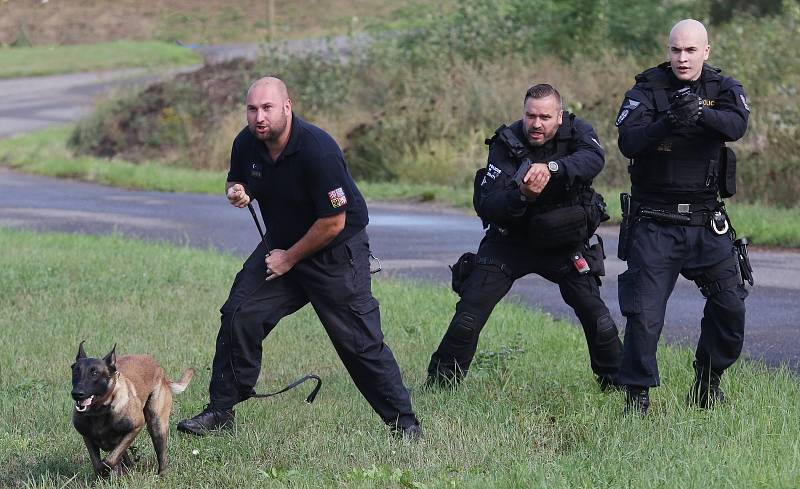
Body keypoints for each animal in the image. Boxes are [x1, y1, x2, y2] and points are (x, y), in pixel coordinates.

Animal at [72, 342, 196, 474]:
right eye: (75, 372)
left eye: (95, 373)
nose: (76, 393)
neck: (99, 412)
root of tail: (161, 371)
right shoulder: (88, 437)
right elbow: (98, 463)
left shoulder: (135, 427)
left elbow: (109, 460)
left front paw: (107, 469)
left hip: (157, 425)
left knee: (161, 455)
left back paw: (161, 474)